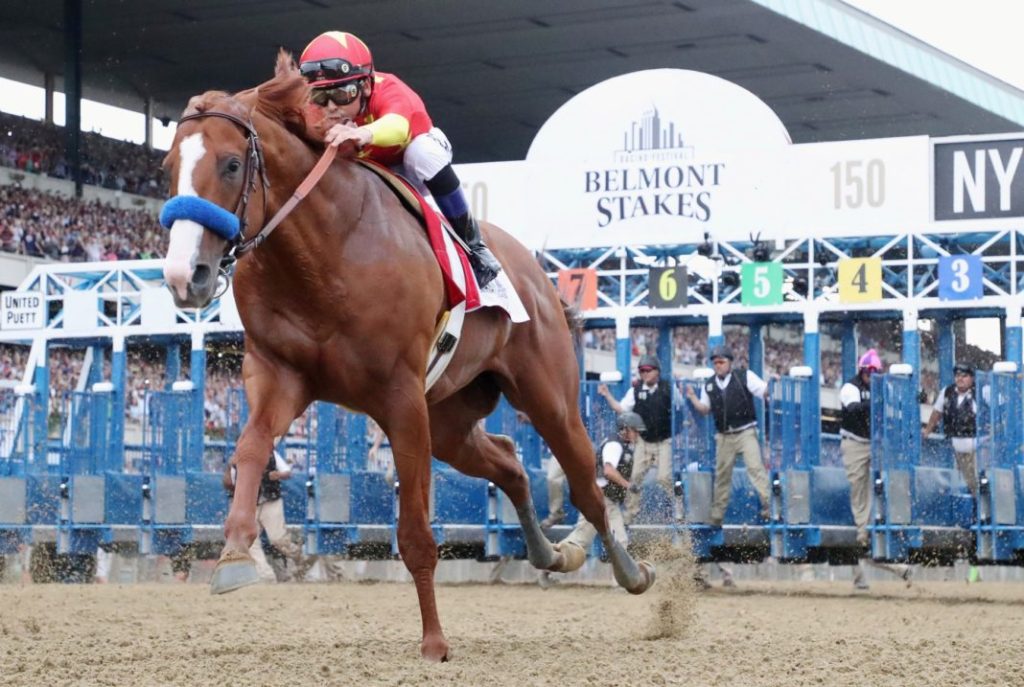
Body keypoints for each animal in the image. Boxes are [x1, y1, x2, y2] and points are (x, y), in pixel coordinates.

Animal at [159, 56, 655, 663]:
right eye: (168, 166)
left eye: (231, 164)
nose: (184, 277)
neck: (325, 251)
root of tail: (538, 274)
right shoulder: (279, 375)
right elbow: (250, 450)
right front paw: (232, 555)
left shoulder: (399, 398)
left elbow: (416, 533)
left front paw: (434, 641)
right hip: (448, 419)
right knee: (509, 460)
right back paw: (547, 552)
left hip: (547, 398)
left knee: (588, 485)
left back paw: (629, 570)